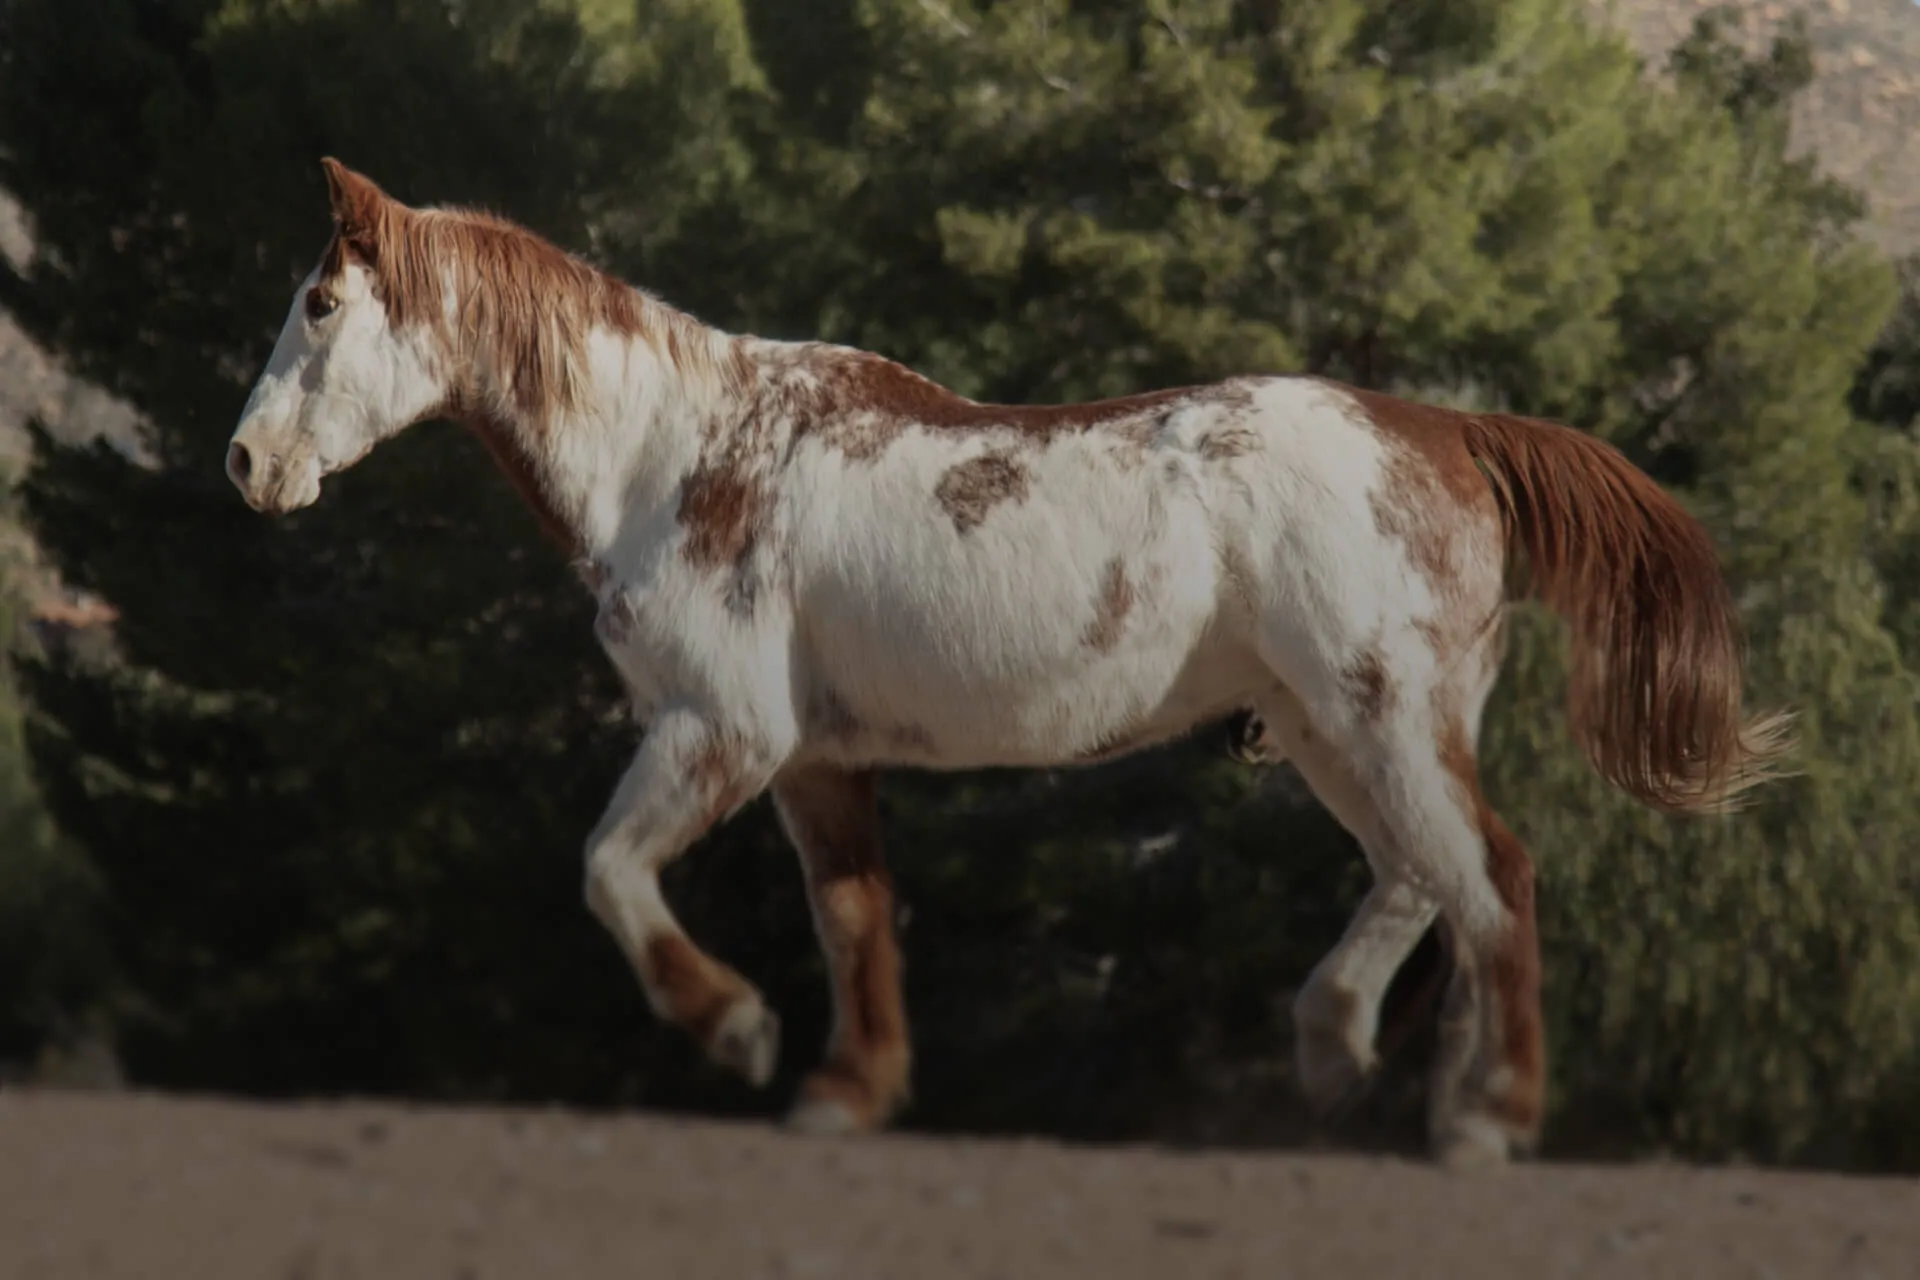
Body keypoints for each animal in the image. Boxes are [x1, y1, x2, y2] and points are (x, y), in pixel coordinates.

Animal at [226, 158, 1794, 1168]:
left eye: (319, 304)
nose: (245, 463)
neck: (674, 457)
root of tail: (1448, 431)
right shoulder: (816, 762)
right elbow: (855, 923)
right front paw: (848, 1089)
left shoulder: (716, 729)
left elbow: (610, 870)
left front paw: (734, 1030)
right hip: (1333, 728)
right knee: (1427, 880)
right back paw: (1342, 1049)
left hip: (1381, 720)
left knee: (1491, 881)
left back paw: (1488, 1114)